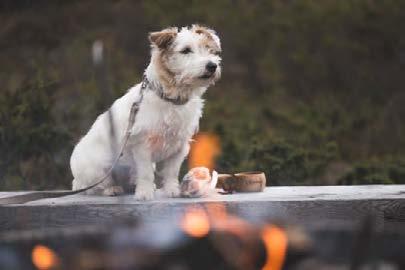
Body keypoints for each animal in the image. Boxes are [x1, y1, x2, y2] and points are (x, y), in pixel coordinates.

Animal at [69, 25, 221, 200]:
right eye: (186, 50)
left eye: (208, 49)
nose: (212, 66)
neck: (171, 98)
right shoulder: (142, 146)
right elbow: (146, 172)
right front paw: (145, 193)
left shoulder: (179, 146)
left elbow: (171, 171)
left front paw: (171, 190)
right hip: (97, 168)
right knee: (95, 186)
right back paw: (111, 189)